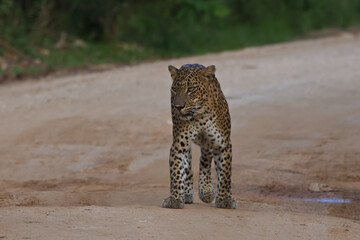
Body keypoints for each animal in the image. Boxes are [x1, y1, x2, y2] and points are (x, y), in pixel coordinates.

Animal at [162, 63, 236, 208]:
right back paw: (188, 193)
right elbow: (176, 170)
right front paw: (175, 199)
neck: (200, 115)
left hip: (209, 143)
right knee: (189, 165)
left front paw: (225, 199)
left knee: (205, 159)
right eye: (174, 90)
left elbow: (225, 172)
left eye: (190, 89)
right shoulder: (179, 145)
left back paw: (206, 190)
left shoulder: (222, 144)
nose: (177, 107)